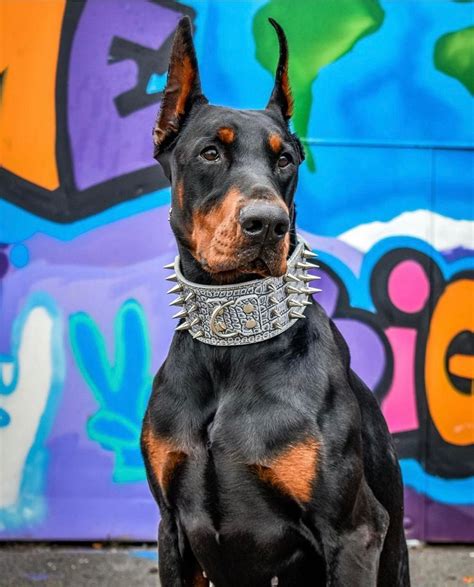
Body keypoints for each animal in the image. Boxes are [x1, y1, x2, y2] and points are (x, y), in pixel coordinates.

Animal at [140, 16, 408, 584]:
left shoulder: (354, 530)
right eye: (211, 152)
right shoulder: (171, 530)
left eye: (284, 159)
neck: (231, 349)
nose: (267, 224)